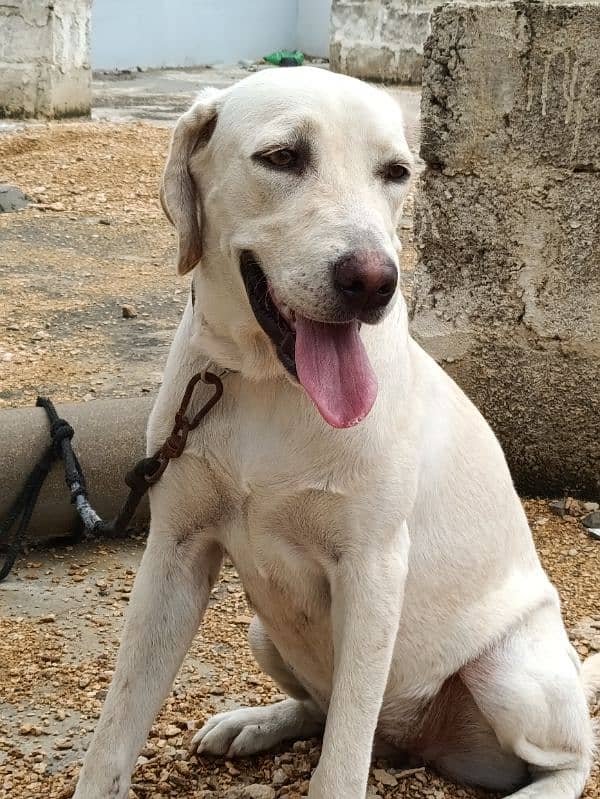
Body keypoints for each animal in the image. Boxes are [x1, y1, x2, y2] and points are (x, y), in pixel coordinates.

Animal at [71, 69, 600, 799]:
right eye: (283, 157)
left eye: (397, 172)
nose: (375, 281)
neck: (266, 383)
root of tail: (412, 742)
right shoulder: (174, 552)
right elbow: (116, 727)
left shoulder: (372, 569)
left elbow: (342, 761)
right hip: (264, 632)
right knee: (321, 709)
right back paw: (256, 722)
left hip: (510, 673)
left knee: (570, 758)